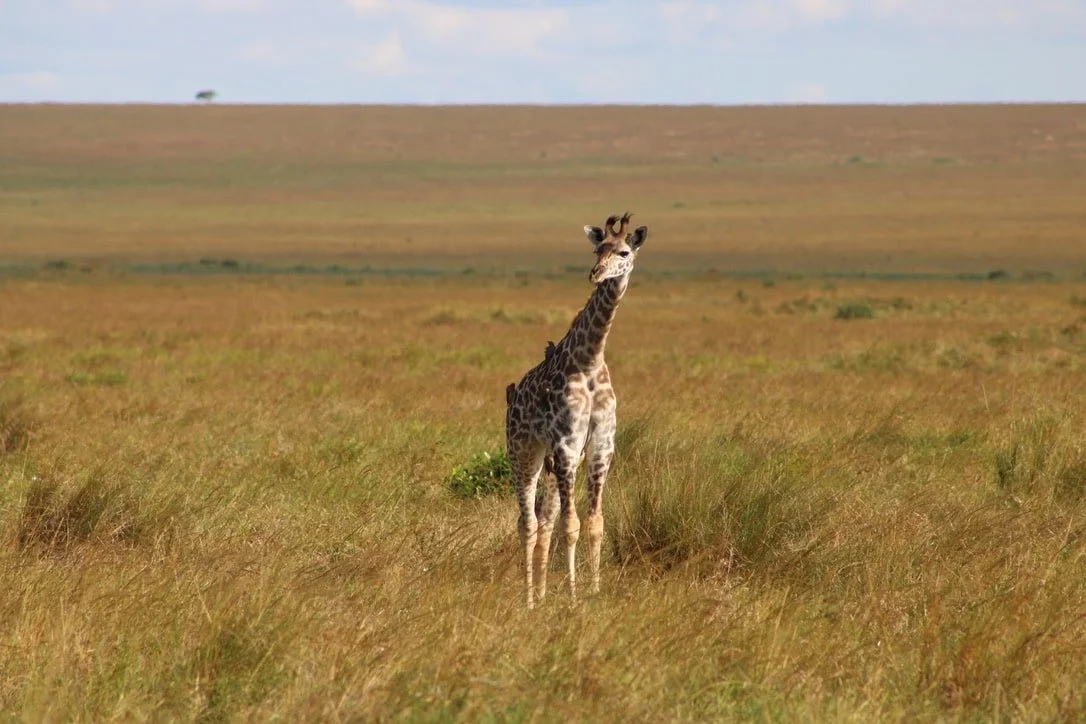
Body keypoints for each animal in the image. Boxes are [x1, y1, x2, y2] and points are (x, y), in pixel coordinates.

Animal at [505, 212, 648, 608]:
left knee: (544, 522)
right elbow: (572, 525)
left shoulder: (601, 444)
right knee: (527, 523)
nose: (596, 273)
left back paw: (540, 593)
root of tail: (511, 395)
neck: (589, 359)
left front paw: (594, 591)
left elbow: (594, 523)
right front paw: (571, 596)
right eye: (598, 249)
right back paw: (529, 600)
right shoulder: (567, 442)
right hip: (523, 451)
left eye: (625, 251)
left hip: (551, 463)